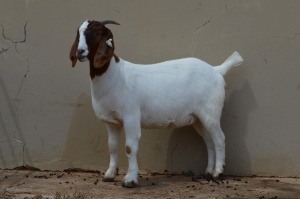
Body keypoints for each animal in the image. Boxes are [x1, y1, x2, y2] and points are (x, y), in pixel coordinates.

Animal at [69, 20, 244, 188]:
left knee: (219, 138)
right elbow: (112, 146)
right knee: (209, 140)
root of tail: (217, 70)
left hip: (211, 111)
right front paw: (110, 174)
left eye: (97, 32)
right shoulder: (111, 122)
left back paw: (217, 172)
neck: (115, 76)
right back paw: (208, 171)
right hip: (198, 118)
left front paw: (130, 180)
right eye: (79, 32)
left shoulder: (131, 116)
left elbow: (129, 148)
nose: (80, 52)